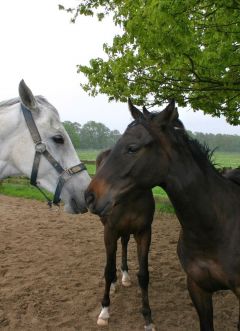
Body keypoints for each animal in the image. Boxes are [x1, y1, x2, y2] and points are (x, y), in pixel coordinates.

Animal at [91, 151, 155, 331]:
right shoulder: (110, 231)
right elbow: (108, 270)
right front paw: (104, 311)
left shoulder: (144, 232)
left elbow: (144, 275)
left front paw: (148, 318)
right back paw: (113, 283)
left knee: (124, 244)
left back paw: (125, 275)